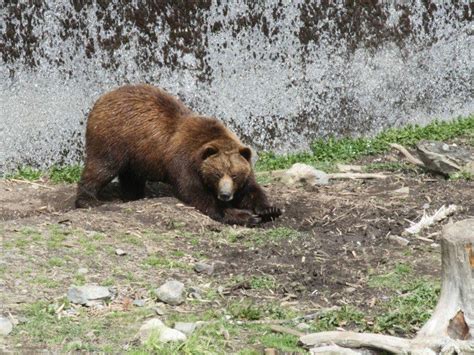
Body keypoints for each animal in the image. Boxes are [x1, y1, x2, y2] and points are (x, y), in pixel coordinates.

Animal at [75, 85, 282, 227]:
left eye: (234, 174)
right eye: (217, 174)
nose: (225, 195)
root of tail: (101, 99)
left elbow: (251, 189)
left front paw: (270, 209)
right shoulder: (184, 164)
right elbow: (197, 195)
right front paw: (244, 215)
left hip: (137, 154)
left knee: (131, 177)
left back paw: (133, 196)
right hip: (113, 138)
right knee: (101, 167)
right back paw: (88, 200)